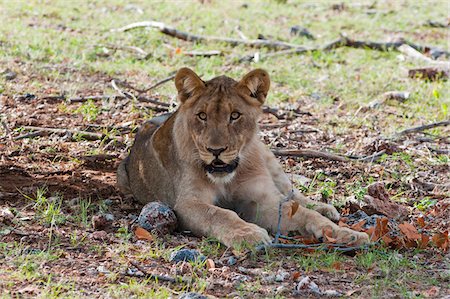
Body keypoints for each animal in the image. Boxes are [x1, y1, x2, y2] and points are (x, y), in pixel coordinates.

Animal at [118, 68, 370, 248]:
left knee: (293, 193)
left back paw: (325, 209)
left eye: (235, 115)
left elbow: (303, 214)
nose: (216, 150)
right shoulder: (188, 203)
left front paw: (346, 234)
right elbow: (220, 214)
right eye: (202, 116)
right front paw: (248, 233)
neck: (228, 176)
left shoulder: (263, 199)